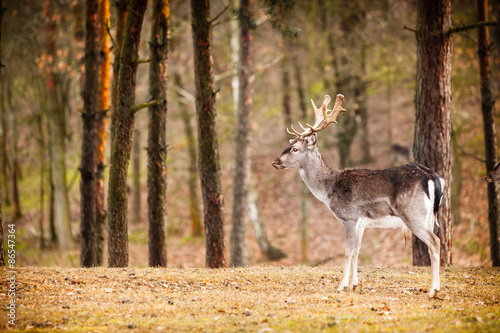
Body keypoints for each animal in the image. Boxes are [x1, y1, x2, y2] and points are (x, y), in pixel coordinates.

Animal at [274, 94, 446, 298]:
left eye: (294, 149)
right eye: (289, 145)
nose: (275, 162)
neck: (329, 190)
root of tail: (433, 177)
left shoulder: (349, 217)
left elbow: (348, 251)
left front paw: (341, 285)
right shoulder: (362, 223)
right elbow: (357, 251)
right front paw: (354, 285)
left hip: (413, 214)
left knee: (435, 242)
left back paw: (433, 290)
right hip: (429, 216)